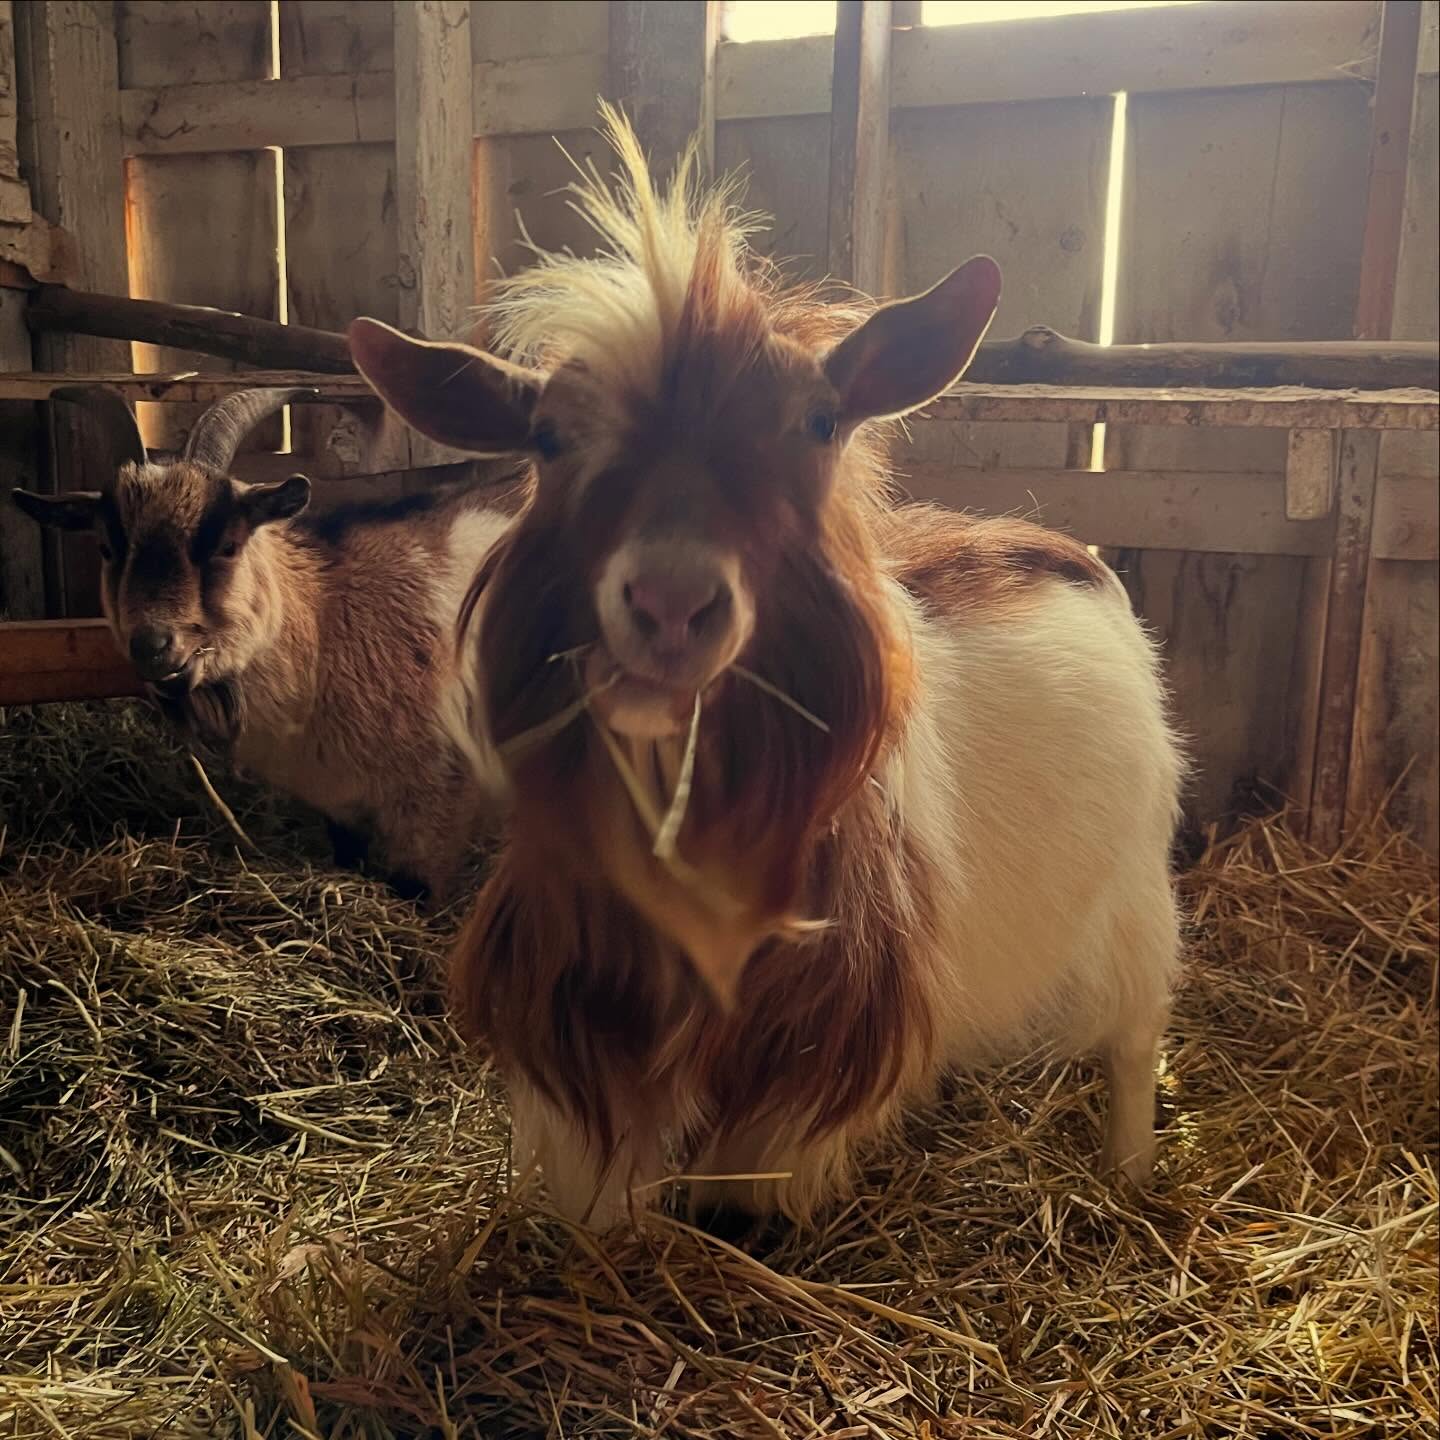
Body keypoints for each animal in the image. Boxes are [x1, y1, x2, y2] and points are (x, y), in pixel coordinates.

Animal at [13, 386, 512, 903]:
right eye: (108, 548)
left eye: (228, 545)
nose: (153, 645)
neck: (327, 620)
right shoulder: (340, 805)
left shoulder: (434, 803)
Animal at [349, 112, 1185, 1227]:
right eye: (549, 438)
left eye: (818, 422)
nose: (670, 602)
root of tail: (1059, 547)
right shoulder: (581, 1030)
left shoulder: (809, 1059)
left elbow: (747, 1197)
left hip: (1138, 905)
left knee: (1134, 1043)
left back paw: (1129, 1173)